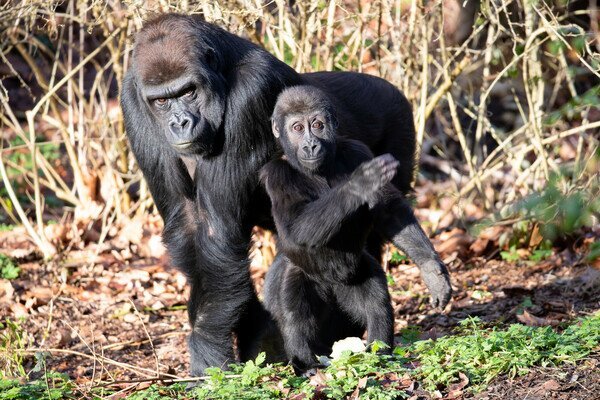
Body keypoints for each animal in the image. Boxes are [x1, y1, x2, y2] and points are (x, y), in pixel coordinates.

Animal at [262, 85, 398, 376]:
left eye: (317, 125)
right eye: (297, 128)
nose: (311, 144)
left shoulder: (360, 151)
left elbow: (390, 211)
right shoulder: (276, 175)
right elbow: (298, 227)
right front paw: (359, 185)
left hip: (358, 272)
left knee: (376, 304)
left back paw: (380, 351)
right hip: (302, 277)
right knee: (295, 314)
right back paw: (305, 362)